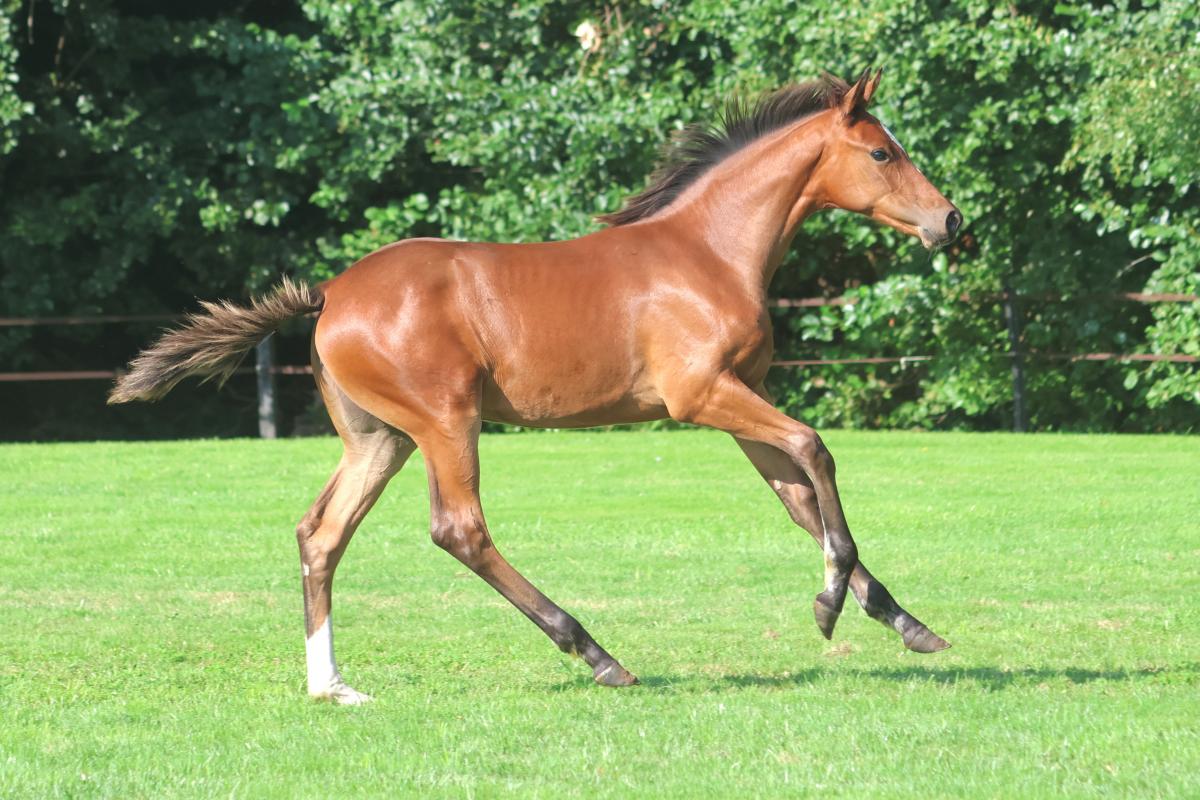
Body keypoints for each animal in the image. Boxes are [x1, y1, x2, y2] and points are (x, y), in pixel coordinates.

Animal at [110, 69, 961, 704]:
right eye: (881, 153)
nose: (951, 222)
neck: (709, 252)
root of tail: (329, 294)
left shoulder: (735, 400)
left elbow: (798, 499)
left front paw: (905, 622)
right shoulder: (701, 396)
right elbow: (816, 452)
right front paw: (828, 605)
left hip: (379, 437)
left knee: (321, 534)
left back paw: (332, 687)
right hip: (446, 420)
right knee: (459, 529)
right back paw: (596, 653)